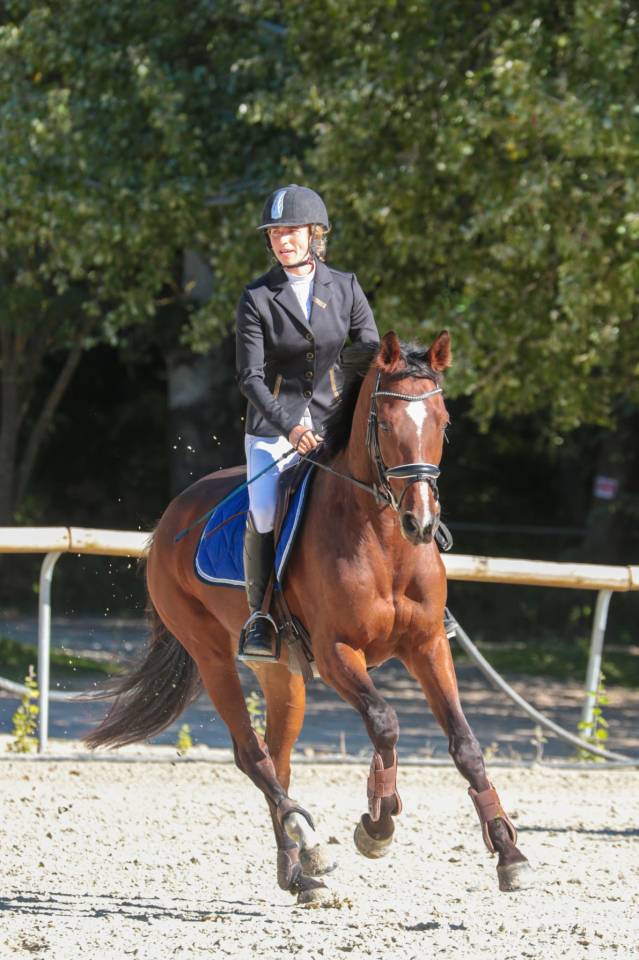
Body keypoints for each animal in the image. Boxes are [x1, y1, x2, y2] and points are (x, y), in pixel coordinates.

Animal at [87, 330, 533, 902]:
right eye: (385, 424)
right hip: (211, 655)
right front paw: (378, 824)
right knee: (251, 754)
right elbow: (384, 723)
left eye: (443, 420)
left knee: (277, 757)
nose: (421, 521)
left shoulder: (428, 645)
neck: (384, 541)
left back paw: (299, 871)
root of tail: (171, 518)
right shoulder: (337, 651)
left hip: (281, 673)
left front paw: (509, 853)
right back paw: (308, 837)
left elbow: (465, 745)